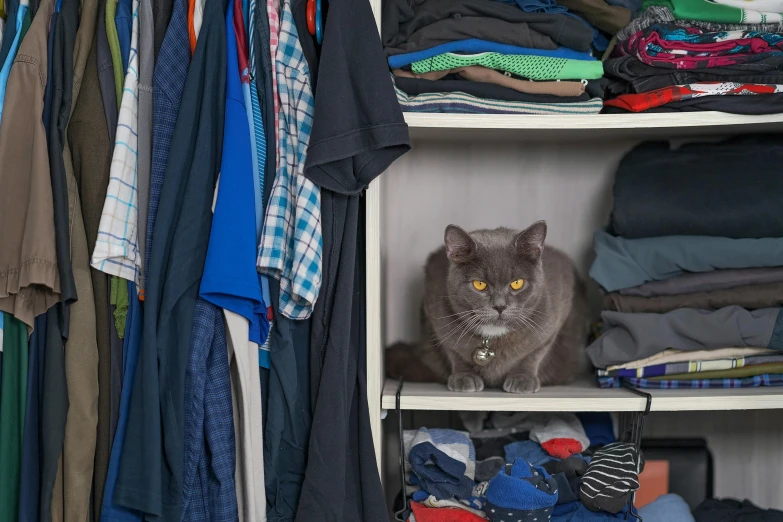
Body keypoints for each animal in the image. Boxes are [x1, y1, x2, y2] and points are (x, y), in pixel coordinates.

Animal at [386, 219, 588, 390]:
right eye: (479, 284)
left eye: (517, 283)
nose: (500, 306)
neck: (491, 338)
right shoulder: (434, 309)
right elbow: (452, 349)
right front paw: (463, 376)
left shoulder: (556, 313)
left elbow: (536, 352)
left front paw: (523, 378)